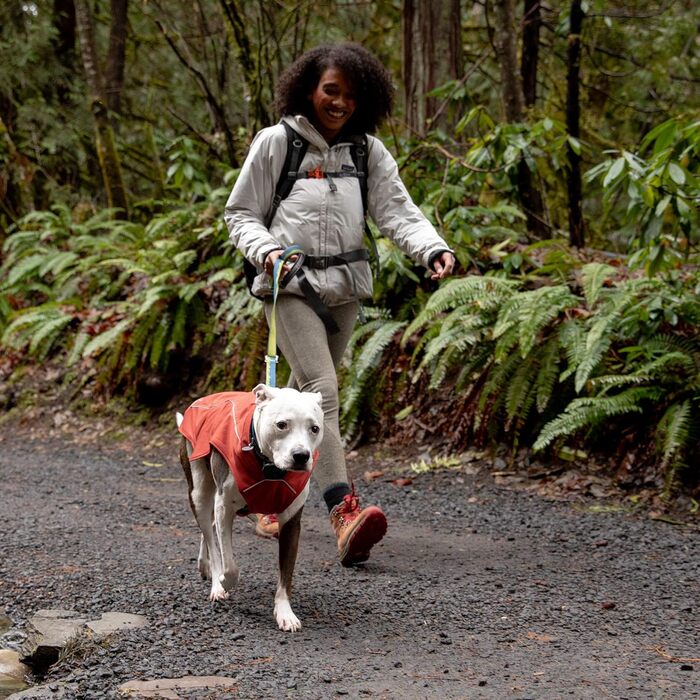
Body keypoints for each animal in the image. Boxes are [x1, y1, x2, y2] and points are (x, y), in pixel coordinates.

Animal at [178, 386, 326, 632]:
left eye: (314, 429)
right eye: (282, 425)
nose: (301, 456)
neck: (270, 470)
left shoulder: (291, 521)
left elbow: (286, 574)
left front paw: (285, 613)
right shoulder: (224, 508)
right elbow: (229, 565)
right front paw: (223, 582)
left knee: (208, 530)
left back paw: (203, 563)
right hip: (199, 491)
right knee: (210, 535)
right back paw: (215, 582)